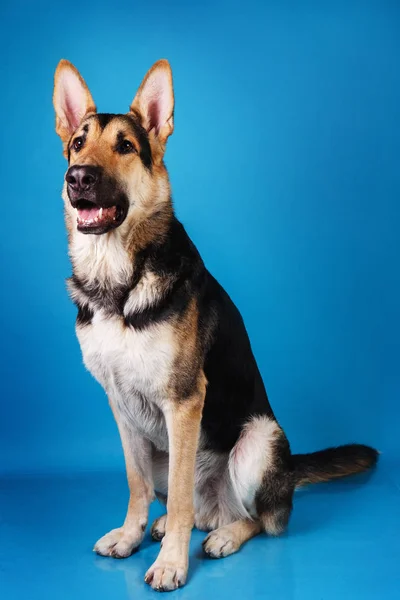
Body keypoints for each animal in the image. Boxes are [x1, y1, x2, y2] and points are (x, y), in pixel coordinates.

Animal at [52, 57, 378, 592]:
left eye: (125, 146)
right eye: (78, 142)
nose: (77, 177)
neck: (118, 284)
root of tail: (288, 473)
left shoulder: (184, 402)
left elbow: (182, 493)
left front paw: (170, 563)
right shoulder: (121, 406)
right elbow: (136, 484)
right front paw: (130, 535)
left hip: (258, 441)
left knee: (258, 519)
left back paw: (221, 535)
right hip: (163, 448)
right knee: (190, 504)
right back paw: (167, 525)